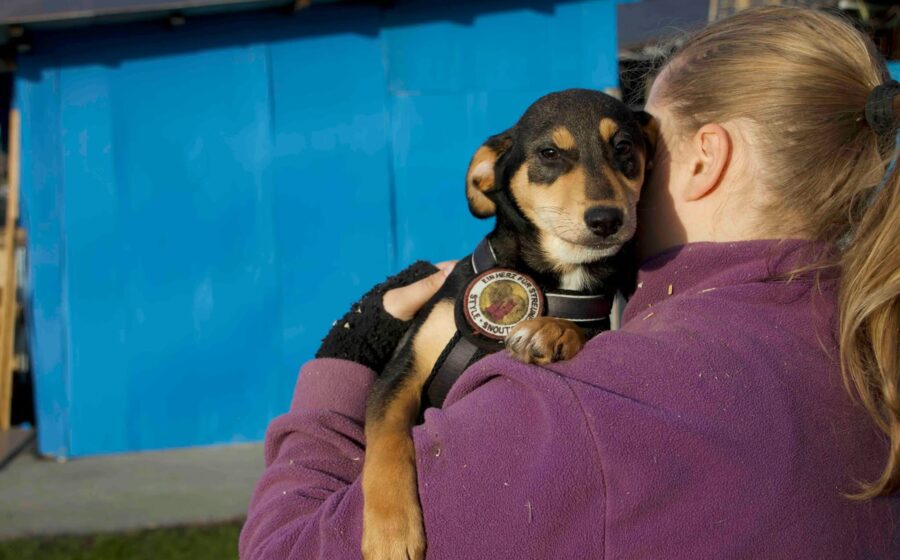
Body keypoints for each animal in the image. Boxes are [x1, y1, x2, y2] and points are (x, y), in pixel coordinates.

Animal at [361, 89, 655, 560]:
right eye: (549, 153)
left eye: (624, 146)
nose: (606, 219)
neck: (555, 274)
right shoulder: (402, 371)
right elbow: (387, 442)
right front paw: (391, 533)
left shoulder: (594, 313)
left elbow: (584, 329)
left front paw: (551, 331)